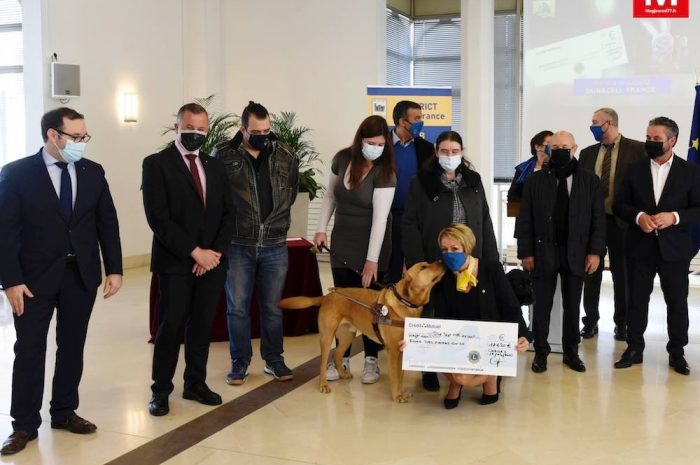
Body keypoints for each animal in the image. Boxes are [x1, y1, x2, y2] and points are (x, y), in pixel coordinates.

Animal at [278, 260, 442, 402]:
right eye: (423, 267)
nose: (441, 261)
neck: (404, 302)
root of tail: (326, 296)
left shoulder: (402, 349)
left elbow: (400, 376)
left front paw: (401, 393)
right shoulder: (393, 351)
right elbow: (395, 377)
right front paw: (397, 396)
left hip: (347, 336)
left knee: (337, 355)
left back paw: (343, 374)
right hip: (327, 337)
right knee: (323, 363)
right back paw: (323, 384)